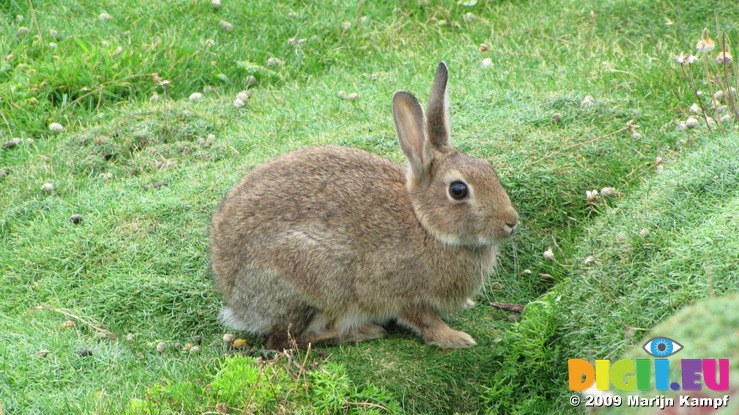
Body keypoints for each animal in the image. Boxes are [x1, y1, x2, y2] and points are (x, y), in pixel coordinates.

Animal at [210, 61, 520, 350]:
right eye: (458, 190)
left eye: (489, 168)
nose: (511, 222)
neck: (425, 224)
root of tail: (238, 302)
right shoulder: (397, 290)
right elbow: (423, 319)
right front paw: (455, 338)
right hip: (311, 279)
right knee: (285, 340)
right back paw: (359, 332)